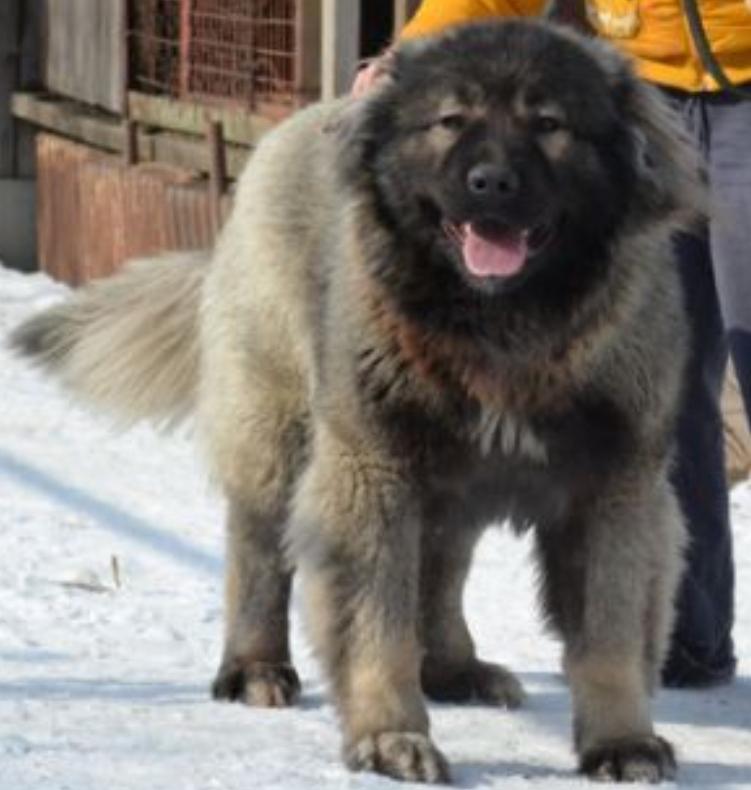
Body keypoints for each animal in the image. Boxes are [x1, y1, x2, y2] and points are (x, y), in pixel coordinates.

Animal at [13, 18, 704, 784]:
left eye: (549, 124)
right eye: (450, 121)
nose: (490, 182)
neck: (501, 330)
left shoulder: (614, 487)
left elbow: (610, 630)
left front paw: (622, 740)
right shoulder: (370, 469)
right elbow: (377, 621)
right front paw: (390, 736)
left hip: (448, 479)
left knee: (439, 570)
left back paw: (455, 670)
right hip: (280, 428)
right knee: (259, 548)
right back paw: (255, 667)